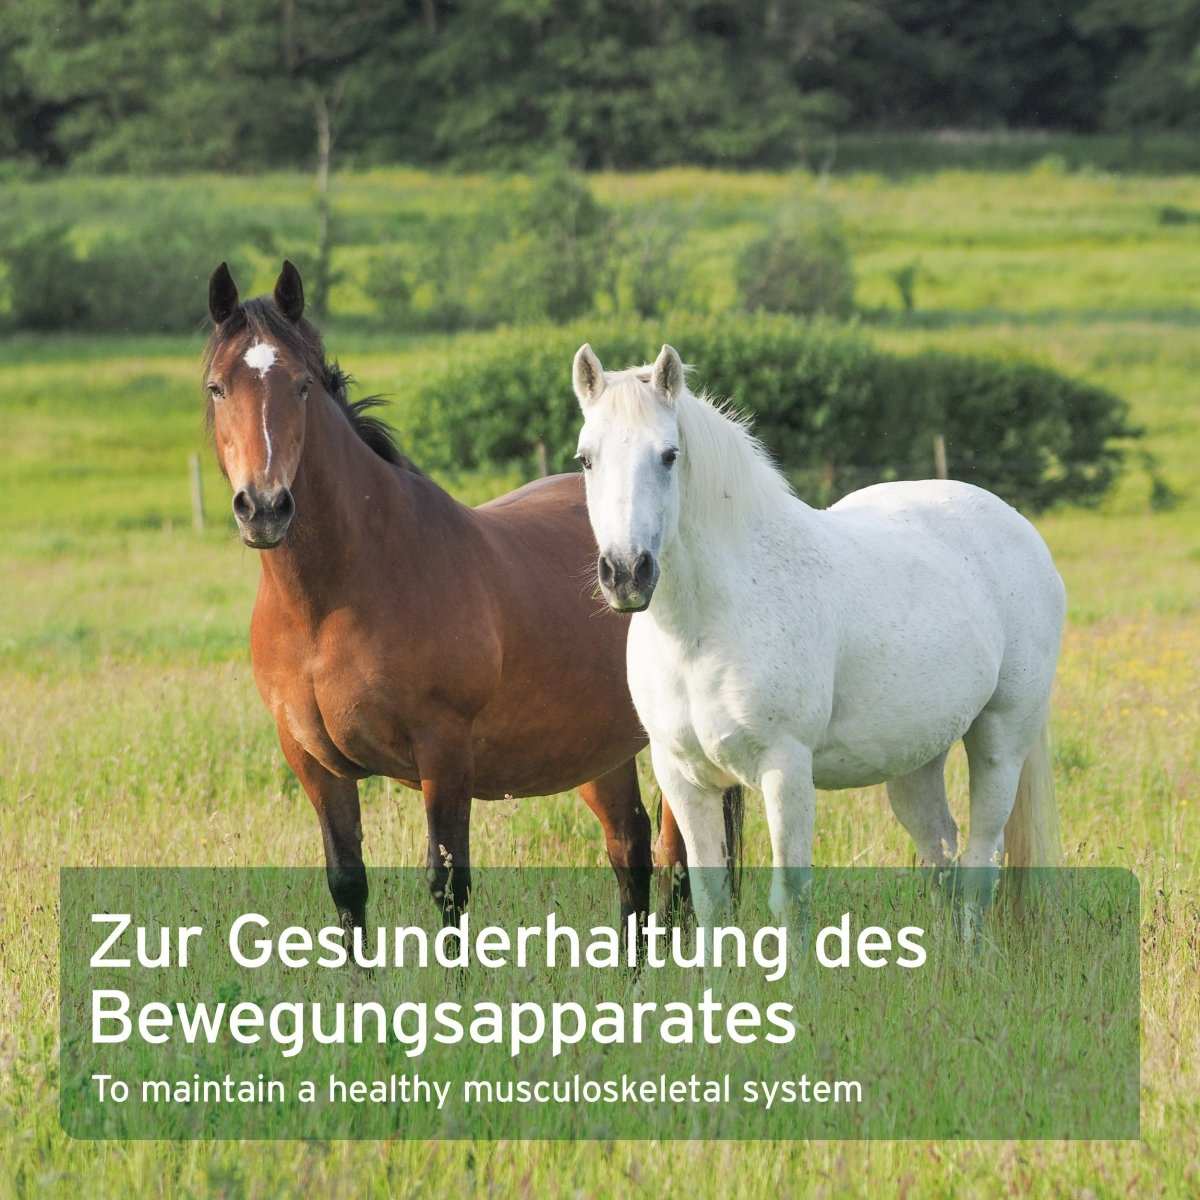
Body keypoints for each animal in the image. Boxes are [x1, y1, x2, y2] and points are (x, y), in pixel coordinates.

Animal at [201, 260, 735, 935]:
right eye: (217, 388)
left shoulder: (444, 753)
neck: (330, 602)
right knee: (630, 848)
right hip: (601, 749)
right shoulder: (314, 764)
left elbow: (447, 885)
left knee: (681, 860)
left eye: (300, 387)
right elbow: (347, 886)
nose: (265, 507)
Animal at [570, 340, 1065, 925]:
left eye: (669, 455)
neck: (704, 629)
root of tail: (1017, 526)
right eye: (586, 458)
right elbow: (709, 899)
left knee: (979, 866)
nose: (627, 573)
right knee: (941, 851)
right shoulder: (684, 778)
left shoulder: (785, 771)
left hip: (1000, 740)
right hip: (916, 758)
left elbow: (791, 898)